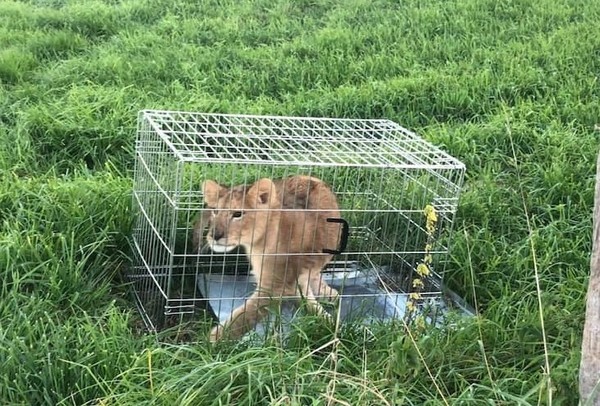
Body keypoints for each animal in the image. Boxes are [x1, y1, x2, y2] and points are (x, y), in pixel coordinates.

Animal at [200, 175, 342, 342]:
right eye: (215, 211)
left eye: (237, 214)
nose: (215, 235)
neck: (258, 244)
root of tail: (309, 177)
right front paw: (325, 319)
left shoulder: (274, 286)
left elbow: (242, 317)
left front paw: (212, 341)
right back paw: (328, 295)